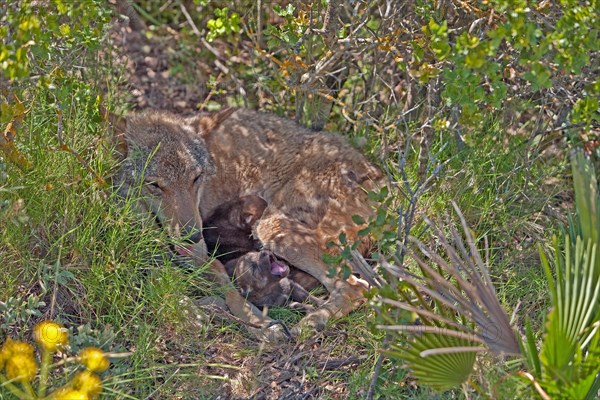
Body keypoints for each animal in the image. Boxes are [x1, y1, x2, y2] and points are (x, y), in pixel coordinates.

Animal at [110, 107, 382, 340]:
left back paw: (309, 324)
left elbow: (230, 289)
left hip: (271, 228)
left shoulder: (203, 255)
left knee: (356, 288)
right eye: (154, 185)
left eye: (196, 178)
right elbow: (158, 277)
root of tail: (379, 182)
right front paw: (186, 310)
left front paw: (260, 324)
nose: (192, 237)